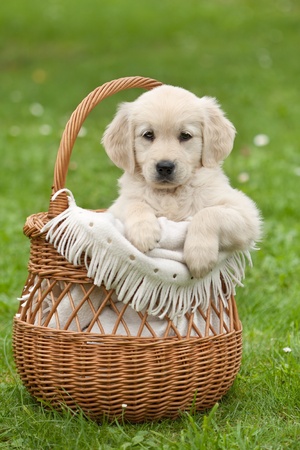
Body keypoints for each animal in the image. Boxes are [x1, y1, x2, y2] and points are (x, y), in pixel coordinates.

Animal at [102, 84, 262, 278]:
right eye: (148, 135)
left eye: (185, 135)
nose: (164, 167)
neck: (171, 193)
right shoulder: (117, 208)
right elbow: (134, 203)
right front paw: (144, 232)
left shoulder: (245, 212)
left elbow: (208, 213)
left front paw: (199, 256)